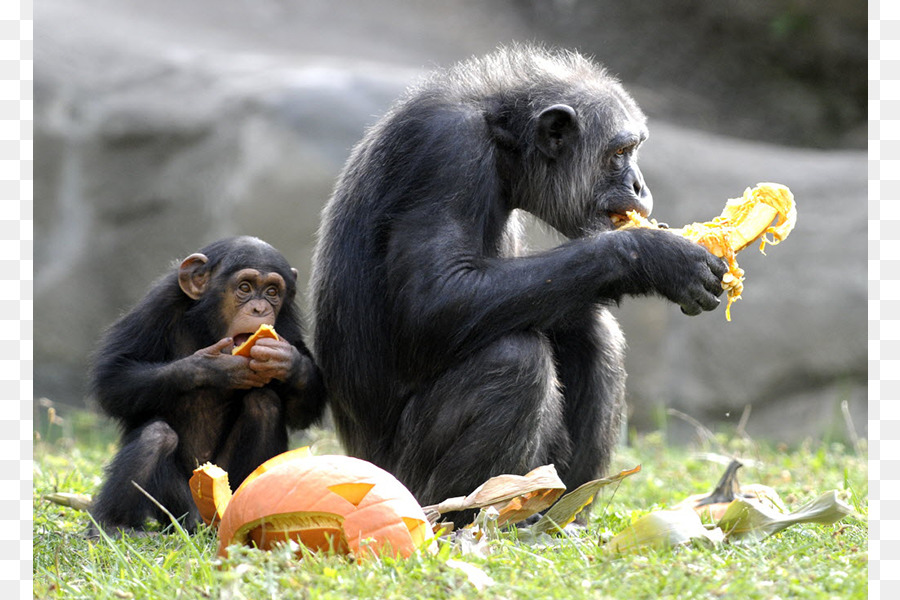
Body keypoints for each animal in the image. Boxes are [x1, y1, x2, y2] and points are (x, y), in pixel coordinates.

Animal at [88, 234, 326, 536]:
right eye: (245, 287)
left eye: (272, 291)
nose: (260, 308)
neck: (208, 327)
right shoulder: (159, 303)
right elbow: (115, 377)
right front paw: (216, 368)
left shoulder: (286, 325)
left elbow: (303, 410)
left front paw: (287, 361)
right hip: (177, 504)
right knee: (156, 436)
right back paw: (111, 523)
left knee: (264, 405)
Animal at [308, 45, 724, 524]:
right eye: (620, 152)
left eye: (632, 149)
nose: (639, 183)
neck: (502, 143)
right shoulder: (446, 153)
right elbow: (434, 299)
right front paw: (654, 256)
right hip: (398, 480)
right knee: (514, 360)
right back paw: (463, 519)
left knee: (591, 333)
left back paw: (558, 516)